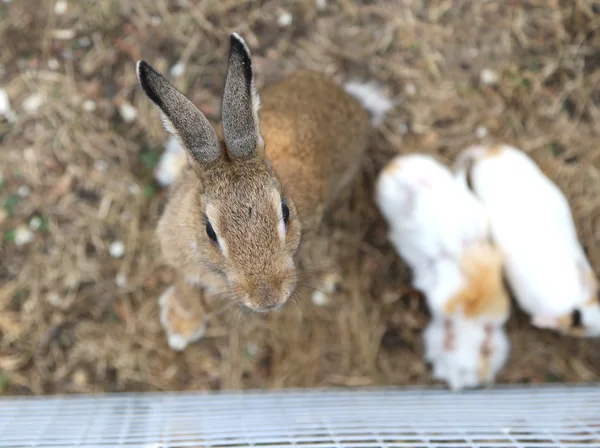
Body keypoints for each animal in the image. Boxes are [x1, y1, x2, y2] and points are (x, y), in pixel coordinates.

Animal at [136, 33, 392, 352]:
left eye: (285, 212)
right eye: (209, 231)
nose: (267, 299)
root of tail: (353, 102)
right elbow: (185, 283)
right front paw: (181, 324)